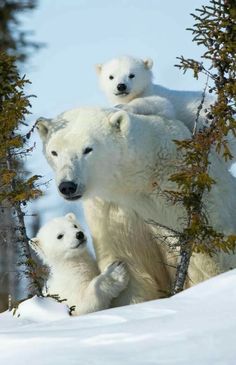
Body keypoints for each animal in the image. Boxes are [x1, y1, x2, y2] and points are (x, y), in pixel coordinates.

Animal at [36, 107, 236, 304]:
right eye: (54, 152)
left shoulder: (179, 189)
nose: (68, 186)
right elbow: (132, 266)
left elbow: (209, 253)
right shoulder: (113, 211)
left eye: (88, 149)